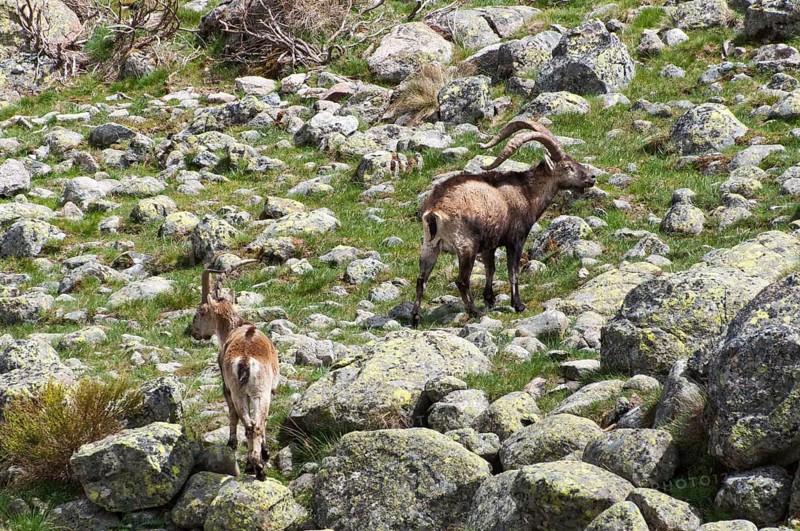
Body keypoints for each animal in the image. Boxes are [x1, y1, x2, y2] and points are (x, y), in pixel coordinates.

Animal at [191, 259, 279, 480]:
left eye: (200, 313)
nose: (194, 332)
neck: (236, 327)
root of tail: (246, 360)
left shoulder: (226, 386)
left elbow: (231, 415)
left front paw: (231, 443)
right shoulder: (272, 390)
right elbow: (264, 421)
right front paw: (266, 451)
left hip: (239, 392)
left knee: (248, 423)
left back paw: (254, 466)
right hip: (260, 392)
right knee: (257, 424)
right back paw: (258, 467)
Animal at [411, 120, 596, 328]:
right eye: (567, 167)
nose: (592, 177)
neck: (526, 193)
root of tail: (434, 210)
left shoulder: (488, 245)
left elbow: (490, 269)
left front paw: (490, 299)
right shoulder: (516, 239)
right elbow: (513, 272)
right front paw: (518, 304)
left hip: (430, 245)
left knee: (421, 279)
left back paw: (415, 318)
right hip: (466, 245)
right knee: (462, 281)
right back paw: (474, 312)